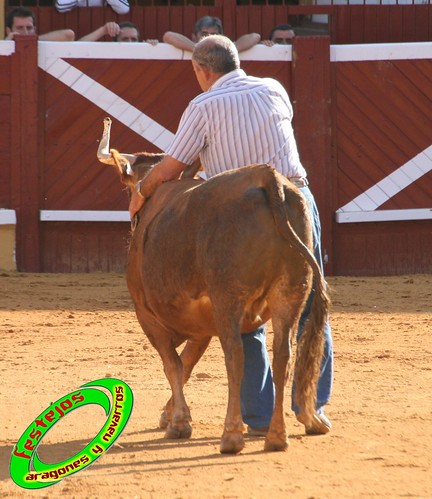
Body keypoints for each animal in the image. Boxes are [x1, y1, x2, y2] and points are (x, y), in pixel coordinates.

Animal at [96, 119, 330, 456]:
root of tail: (267, 176)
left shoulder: (147, 315)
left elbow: (174, 364)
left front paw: (179, 422)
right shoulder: (202, 323)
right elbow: (187, 363)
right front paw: (170, 415)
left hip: (228, 296)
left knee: (235, 355)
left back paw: (231, 435)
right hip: (291, 292)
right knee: (283, 355)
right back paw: (278, 434)